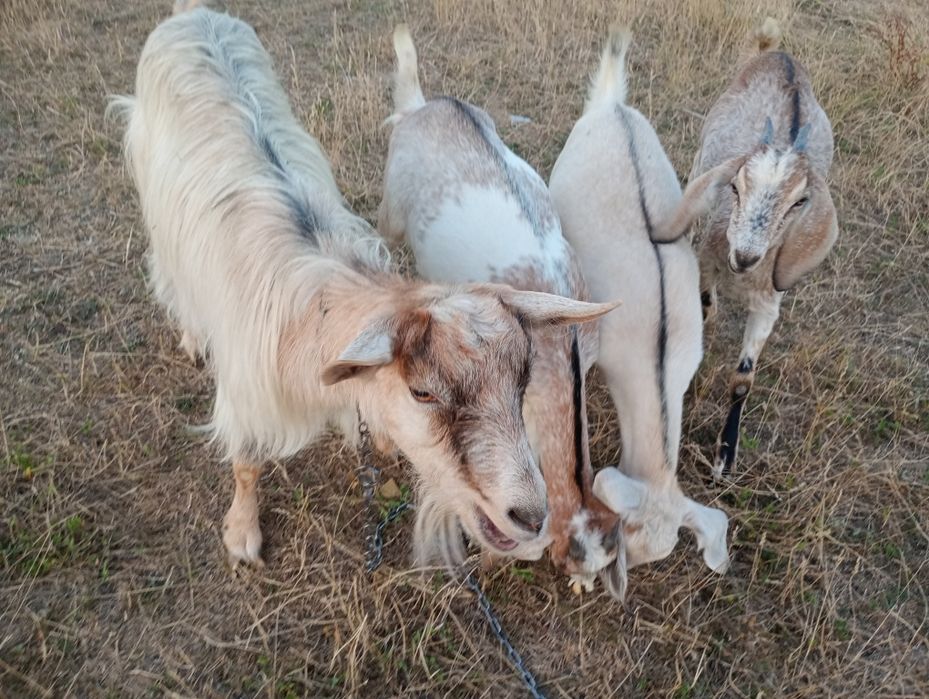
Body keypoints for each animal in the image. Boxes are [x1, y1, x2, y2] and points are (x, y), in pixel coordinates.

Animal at [656, 18, 838, 477]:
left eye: (799, 203)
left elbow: (744, 380)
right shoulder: (707, 263)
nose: (745, 256)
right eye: (735, 187)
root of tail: (779, 55)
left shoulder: (770, 302)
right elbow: (706, 308)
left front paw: (725, 453)